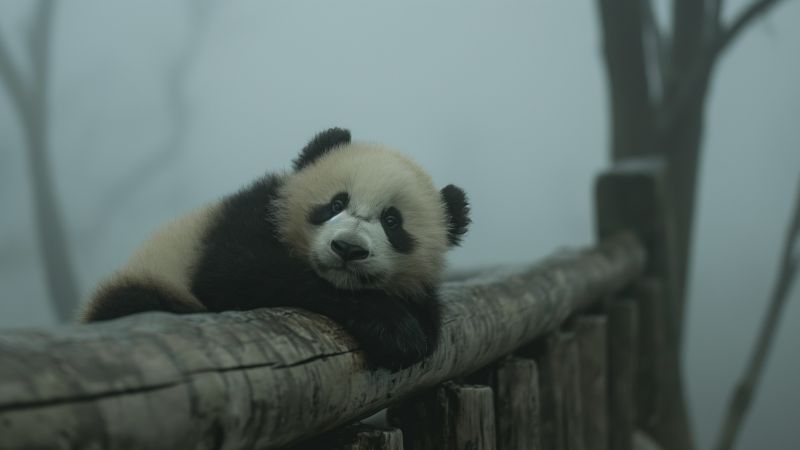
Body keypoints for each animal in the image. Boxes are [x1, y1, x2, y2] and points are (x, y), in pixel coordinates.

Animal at [82, 128, 470, 370]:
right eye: (336, 203)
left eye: (392, 221)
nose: (347, 248)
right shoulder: (244, 217)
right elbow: (240, 273)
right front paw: (396, 330)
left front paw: (420, 321)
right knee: (137, 301)